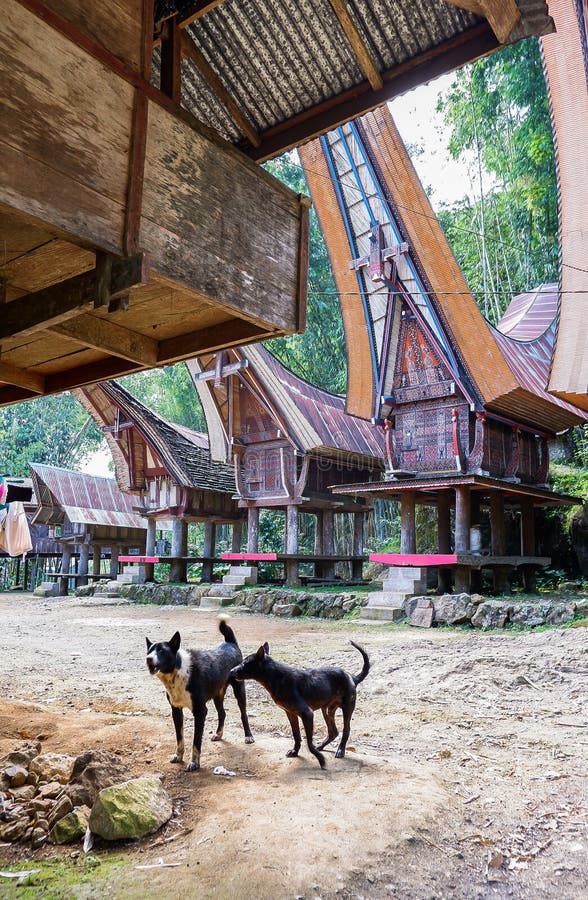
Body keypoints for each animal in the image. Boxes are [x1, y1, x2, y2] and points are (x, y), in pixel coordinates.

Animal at [146, 620, 254, 772]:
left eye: (162, 651)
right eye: (149, 651)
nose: (148, 659)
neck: (177, 671)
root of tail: (230, 643)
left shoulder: (200, 711)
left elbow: (196, 741)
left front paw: (194, 763)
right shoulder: (176, 710)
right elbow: (180, 738)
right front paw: (178, 756)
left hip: (239, 690)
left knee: (243, 713)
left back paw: (248, 736)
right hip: (217, 695)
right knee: (222, 713)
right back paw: (218, 734)